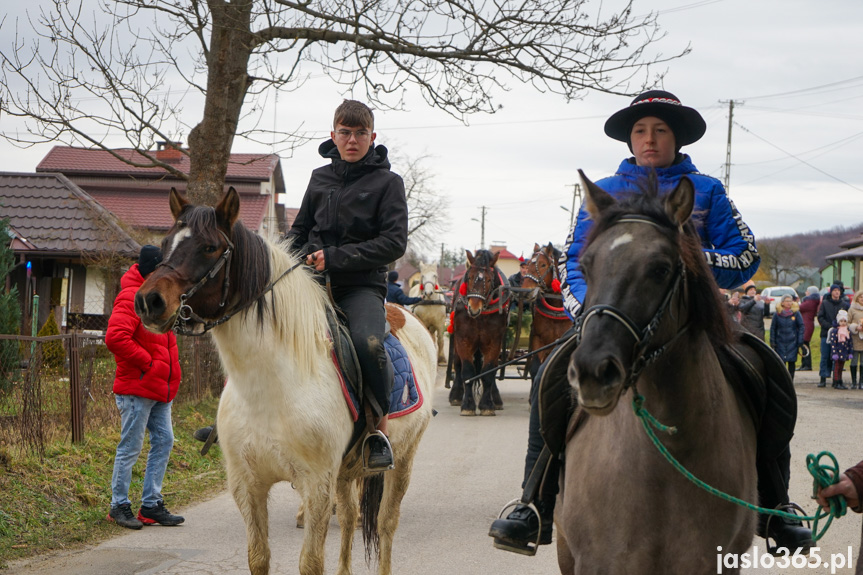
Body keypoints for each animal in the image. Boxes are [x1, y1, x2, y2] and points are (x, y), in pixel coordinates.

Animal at [136, 187, 438, 572]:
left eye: (209, 247)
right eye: (165, 243)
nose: (149, 301)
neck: (272, 388)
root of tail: (406, 315)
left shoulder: (316, 485)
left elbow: (310, 562)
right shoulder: (248, 486)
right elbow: (258, 557)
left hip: (402, 459)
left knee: (385, 525)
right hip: (346, 471)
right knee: (350, 517)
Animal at [448, 250, 510, 416]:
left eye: (489, 280)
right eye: (469, 277)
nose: (474, 308)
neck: (480, 316)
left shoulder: (494, 341)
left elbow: (488, 372)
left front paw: (487, 405)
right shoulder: (464, 339)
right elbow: (467, 371)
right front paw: (468, 405)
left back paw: (496, 398)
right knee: (457, 364)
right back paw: (456, 395)